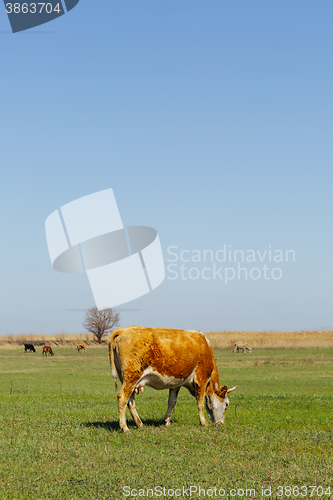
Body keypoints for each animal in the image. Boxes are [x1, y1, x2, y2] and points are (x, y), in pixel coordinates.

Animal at [107, 326, 235, 432]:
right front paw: (203, 422)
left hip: (128, 380)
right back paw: (124, 427)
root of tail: (123, 330)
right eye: (226, 405)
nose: (222, 423)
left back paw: (139, 424)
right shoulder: (201, 379)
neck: (204, 346)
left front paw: (167, 421)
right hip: (131, 377)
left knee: (130, 401)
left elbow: (172, 402)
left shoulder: (176, 383)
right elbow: (200, 403)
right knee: (122, 398)